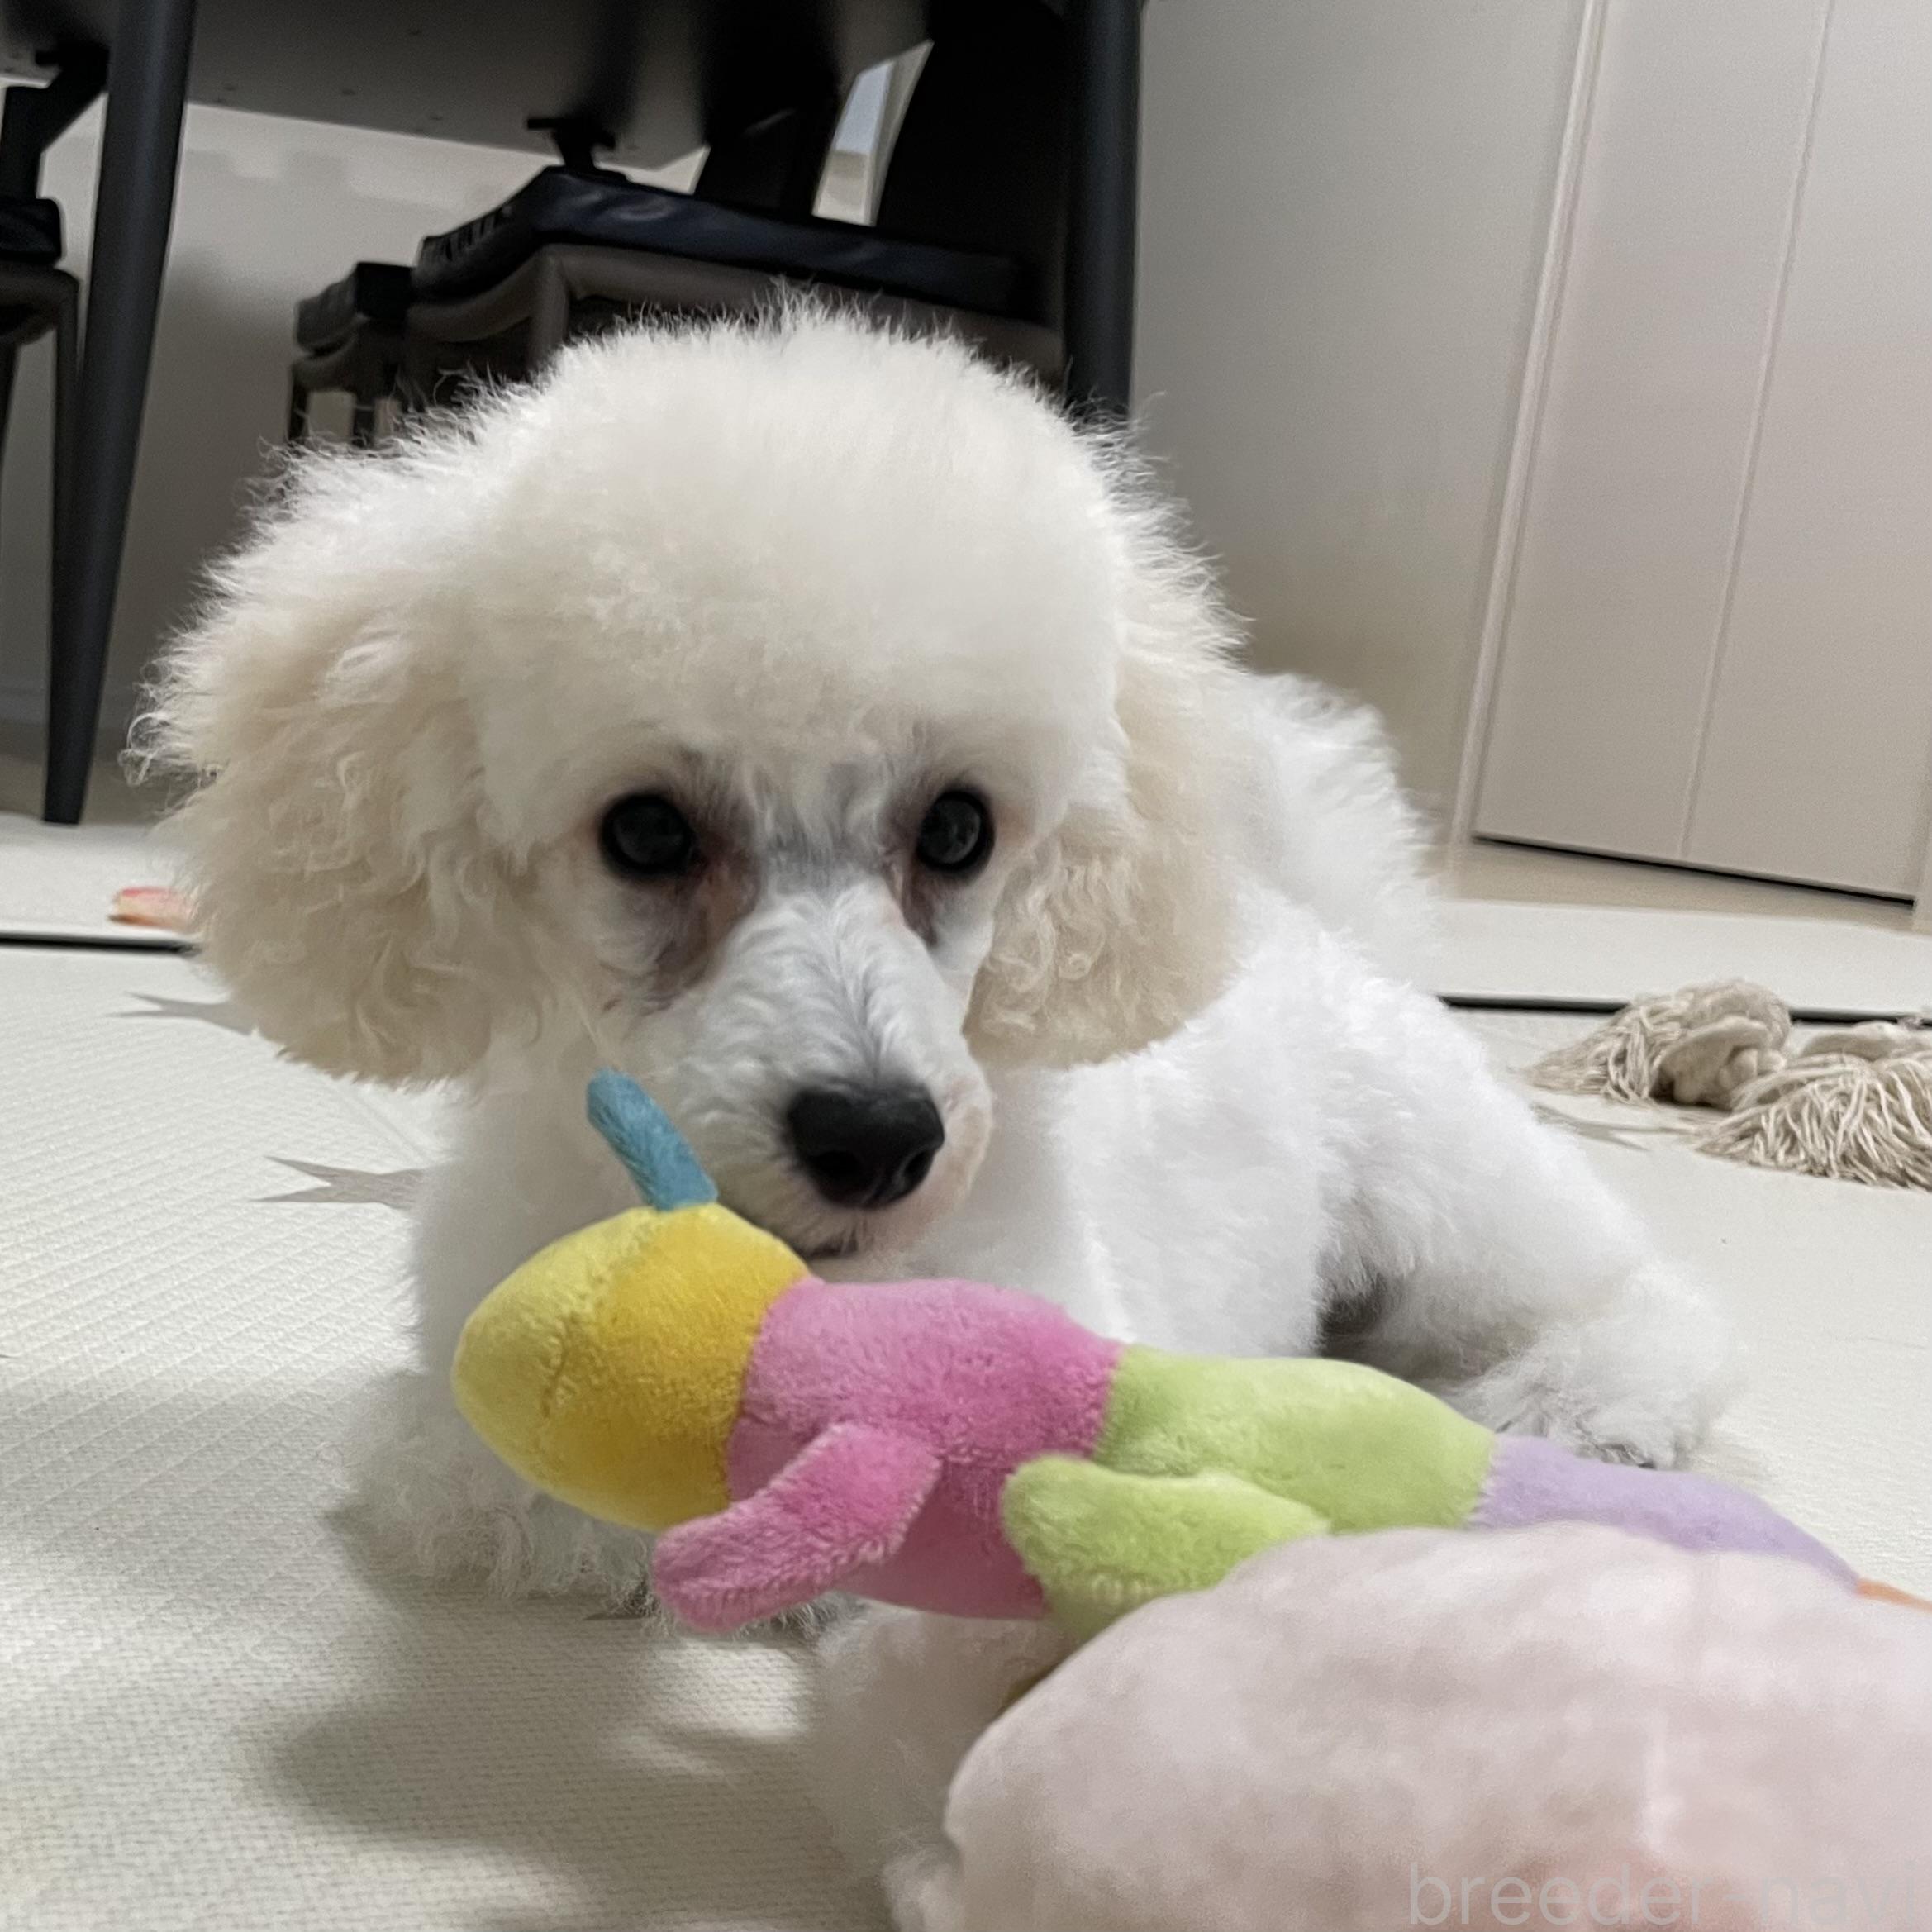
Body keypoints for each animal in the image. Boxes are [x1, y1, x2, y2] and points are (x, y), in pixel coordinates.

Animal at [147, 311, 1731, 1922]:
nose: (875, 1138)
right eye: (644, 830)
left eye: (959, 826)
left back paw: (1576, 1405)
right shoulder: (470, 1440)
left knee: (1628, 1294)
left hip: (1437, 1183)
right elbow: (553, 1503)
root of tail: (1297, 913)